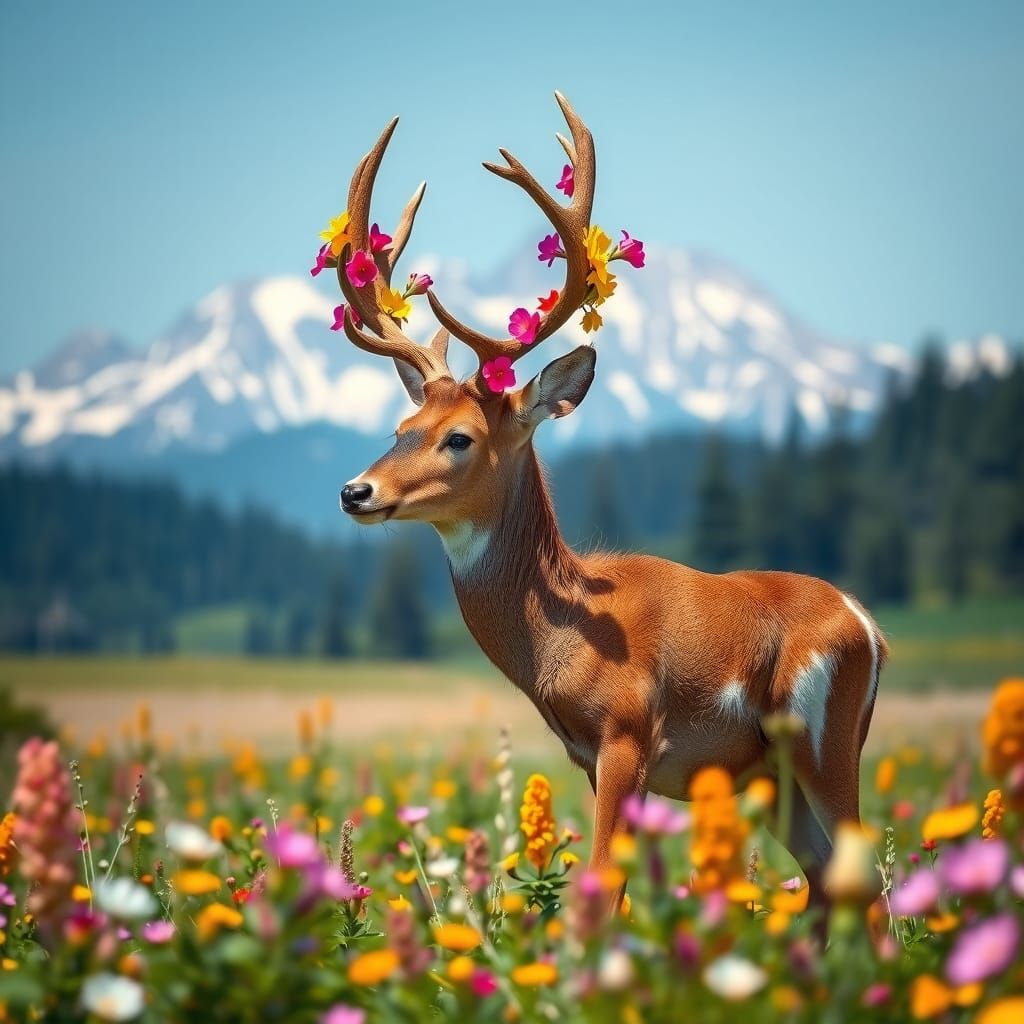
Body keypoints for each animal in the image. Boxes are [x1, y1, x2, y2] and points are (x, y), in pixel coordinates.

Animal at [331, 92, 887, 917]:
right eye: (402, 429)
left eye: (460, 438)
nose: (355, 491)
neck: (557, 635)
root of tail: (869, 626)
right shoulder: (588, 755)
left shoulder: (628, 732)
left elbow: (597, 888)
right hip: (773, 771)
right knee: (826, 880)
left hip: (822, 735)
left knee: (866, 881)